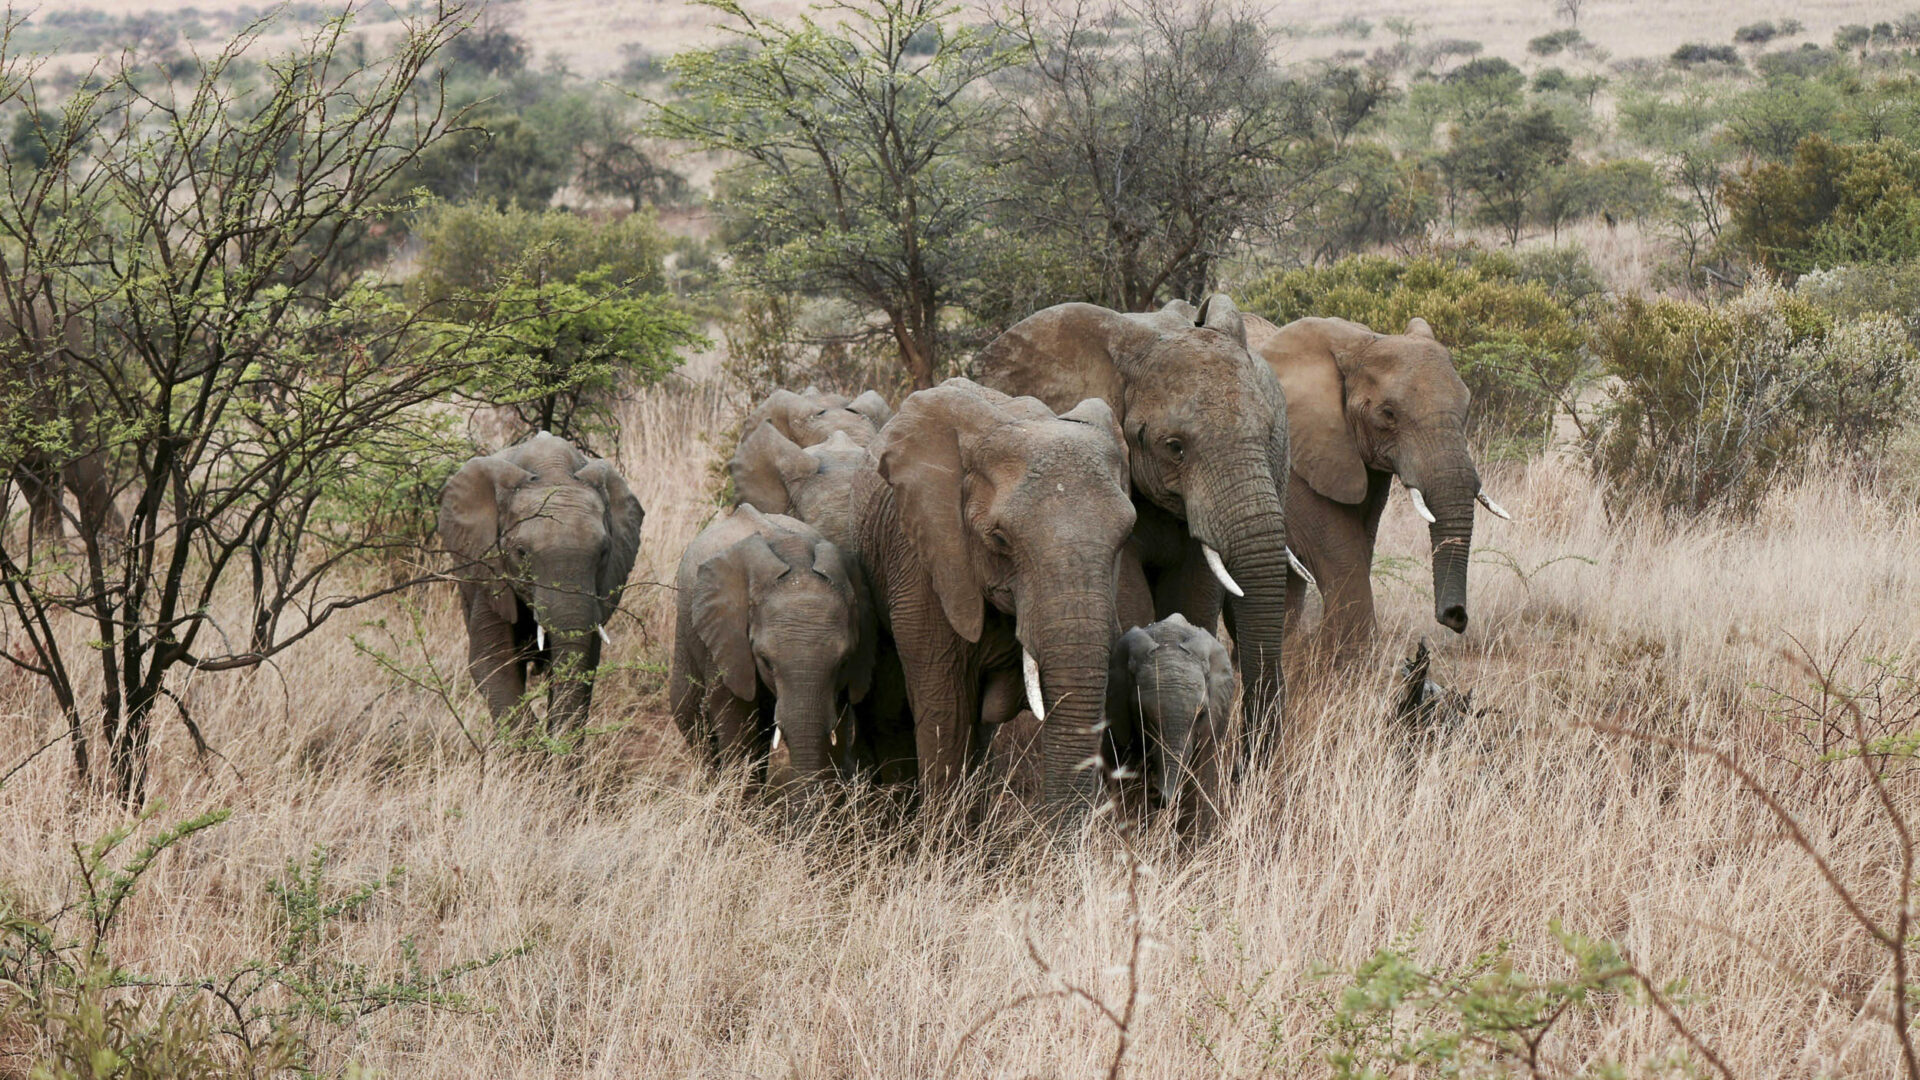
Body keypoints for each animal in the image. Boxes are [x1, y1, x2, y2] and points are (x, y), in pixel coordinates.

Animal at [438, 432, 644, 732]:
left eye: (605, 552)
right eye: (521, 552)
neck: (551, 469)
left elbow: (584, 660)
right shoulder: (490, 569)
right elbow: (492, 661)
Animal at [670, 504, 875, 785]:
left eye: (844, 662)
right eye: (766, 661)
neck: (796, 559)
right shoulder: (727, 639)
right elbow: (735, 718)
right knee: (690, 717)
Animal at [1243, 315, 1512, 656]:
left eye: (1465, 409)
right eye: (1388, 414)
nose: (1455, 616)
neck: (1359, 341)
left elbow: (1361, 543)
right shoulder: (1294, 455)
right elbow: (1340, 550)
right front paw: (1342, 660)